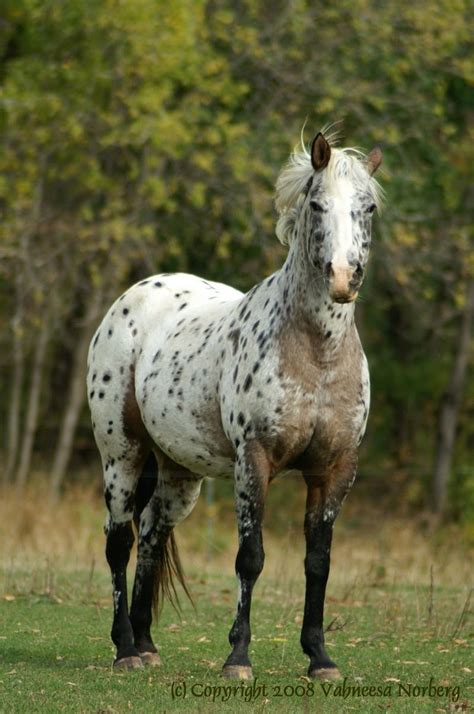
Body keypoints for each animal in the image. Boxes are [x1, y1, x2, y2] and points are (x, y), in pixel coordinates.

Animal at [87, 132, 384, 680]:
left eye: (367, 207)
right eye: (316, 204)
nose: (343, 277)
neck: (317, 354)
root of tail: (131, 298)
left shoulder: (335, 469)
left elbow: (319, 562)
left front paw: (320, 657)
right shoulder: (255, 461)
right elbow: (251, 557)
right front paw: (238, 657)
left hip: (179, 475)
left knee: (152, 536)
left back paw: (147, 644)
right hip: (122, 457)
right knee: (120, 543)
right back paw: (125, 649)